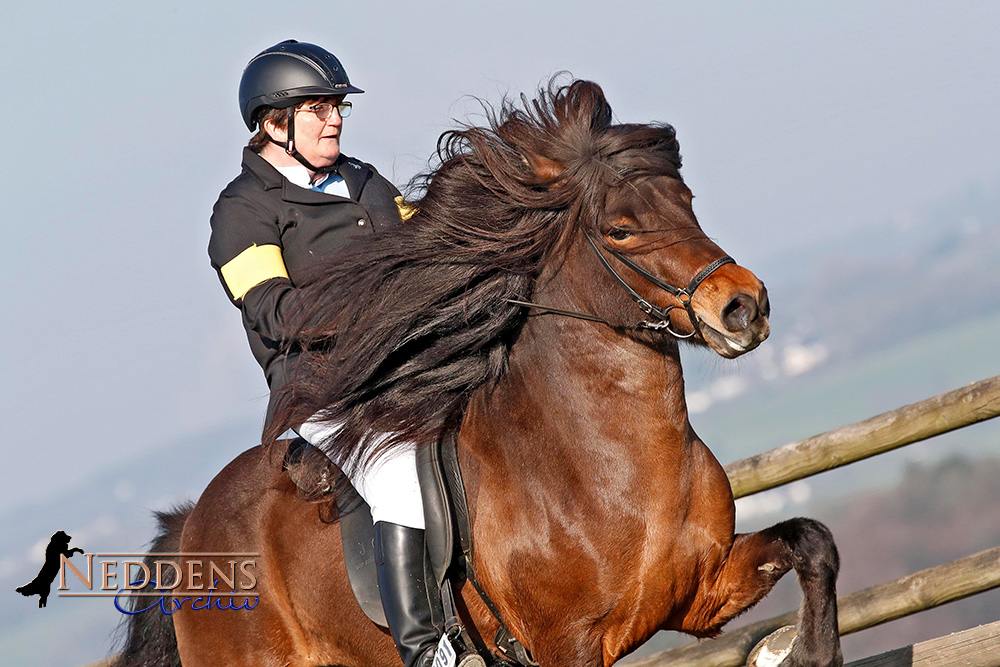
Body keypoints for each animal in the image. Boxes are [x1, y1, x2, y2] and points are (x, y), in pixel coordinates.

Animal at [117, 79, 840, 667]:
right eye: (621, 230)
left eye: (686, 199)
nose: (744, 306)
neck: (603, 469)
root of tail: (191, 529)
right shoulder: (567, 646)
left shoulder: (701, 593)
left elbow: (813, 539)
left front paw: (811, 648)